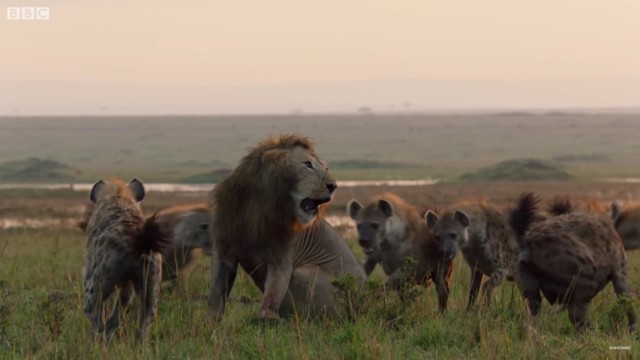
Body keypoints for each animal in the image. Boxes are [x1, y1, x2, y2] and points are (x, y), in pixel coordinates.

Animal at [209, 134, 364, 320]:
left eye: (325, 167)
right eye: (308, 164)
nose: (333, 185)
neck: (257, 208)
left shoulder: (281, 257)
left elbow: (272, 295)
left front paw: (270, 318)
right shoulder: (224, 250)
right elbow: (216, 294)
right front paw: (209, 322)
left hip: (306, 272)